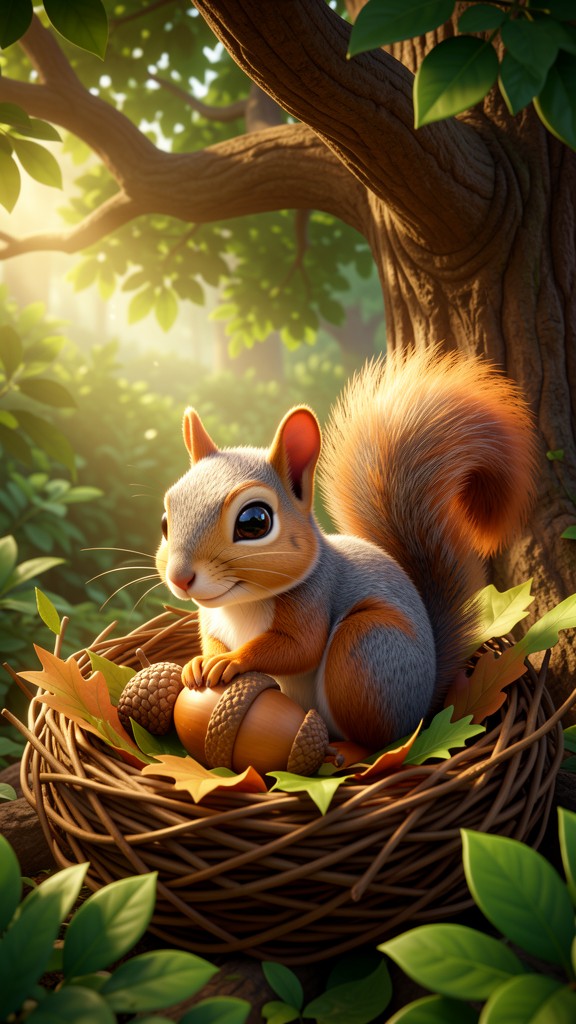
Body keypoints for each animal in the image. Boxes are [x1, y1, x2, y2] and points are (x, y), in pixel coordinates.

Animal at [156, 346, 536, 751]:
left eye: (254, 521)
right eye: (165, 521)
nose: (180, 578)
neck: (240, 605)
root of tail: (423, 705)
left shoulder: (312, 599)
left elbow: (298, 648)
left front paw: (232, 661)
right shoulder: (211, 619)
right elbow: (211, 641)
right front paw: (201, 662)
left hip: (365, 651)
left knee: (375, 739)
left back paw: (346, 753)